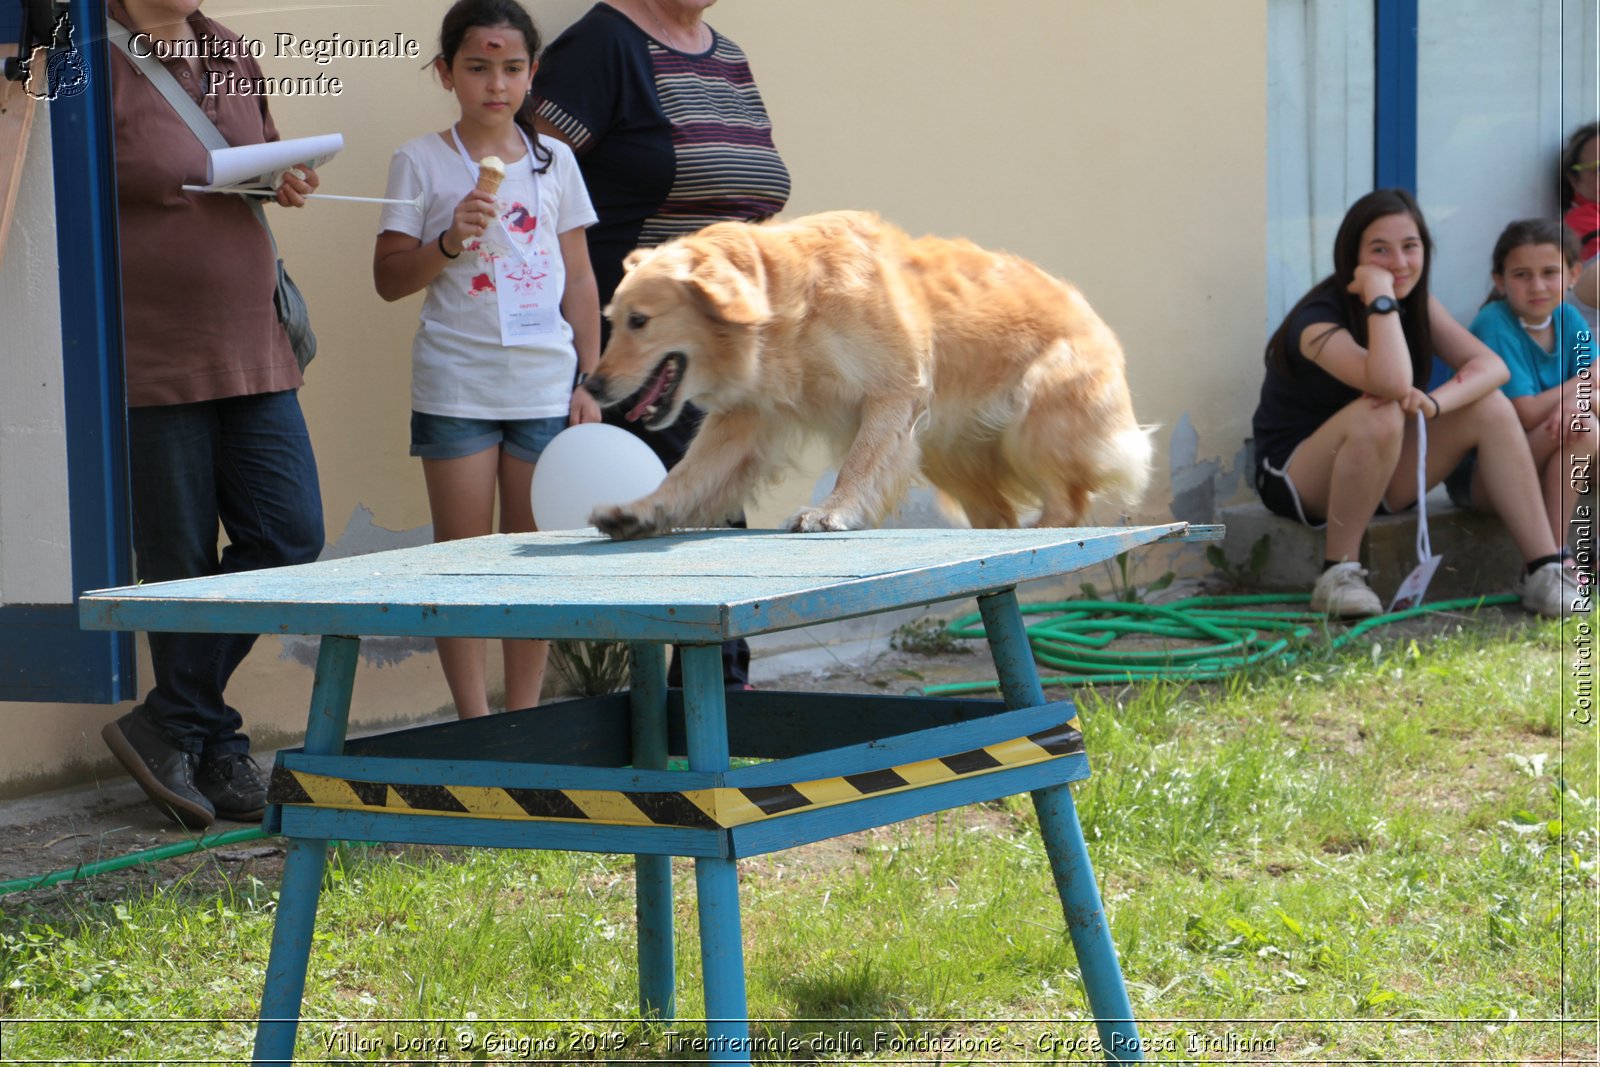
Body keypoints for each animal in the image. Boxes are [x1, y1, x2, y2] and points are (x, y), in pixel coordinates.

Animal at [588, 211, 1152, 537]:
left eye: (640, 321)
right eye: (611, 321)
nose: (591, 386)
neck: (790, 303)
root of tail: (1090, 311)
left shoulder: (892, 393)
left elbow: (859, 463)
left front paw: (830, 511)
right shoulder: (745, 420)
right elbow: (687, 475)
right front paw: (641, 511)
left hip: (1035, 418)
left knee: (1070, 499)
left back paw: (1043, 528)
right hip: (947, 454)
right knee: (998, 512)